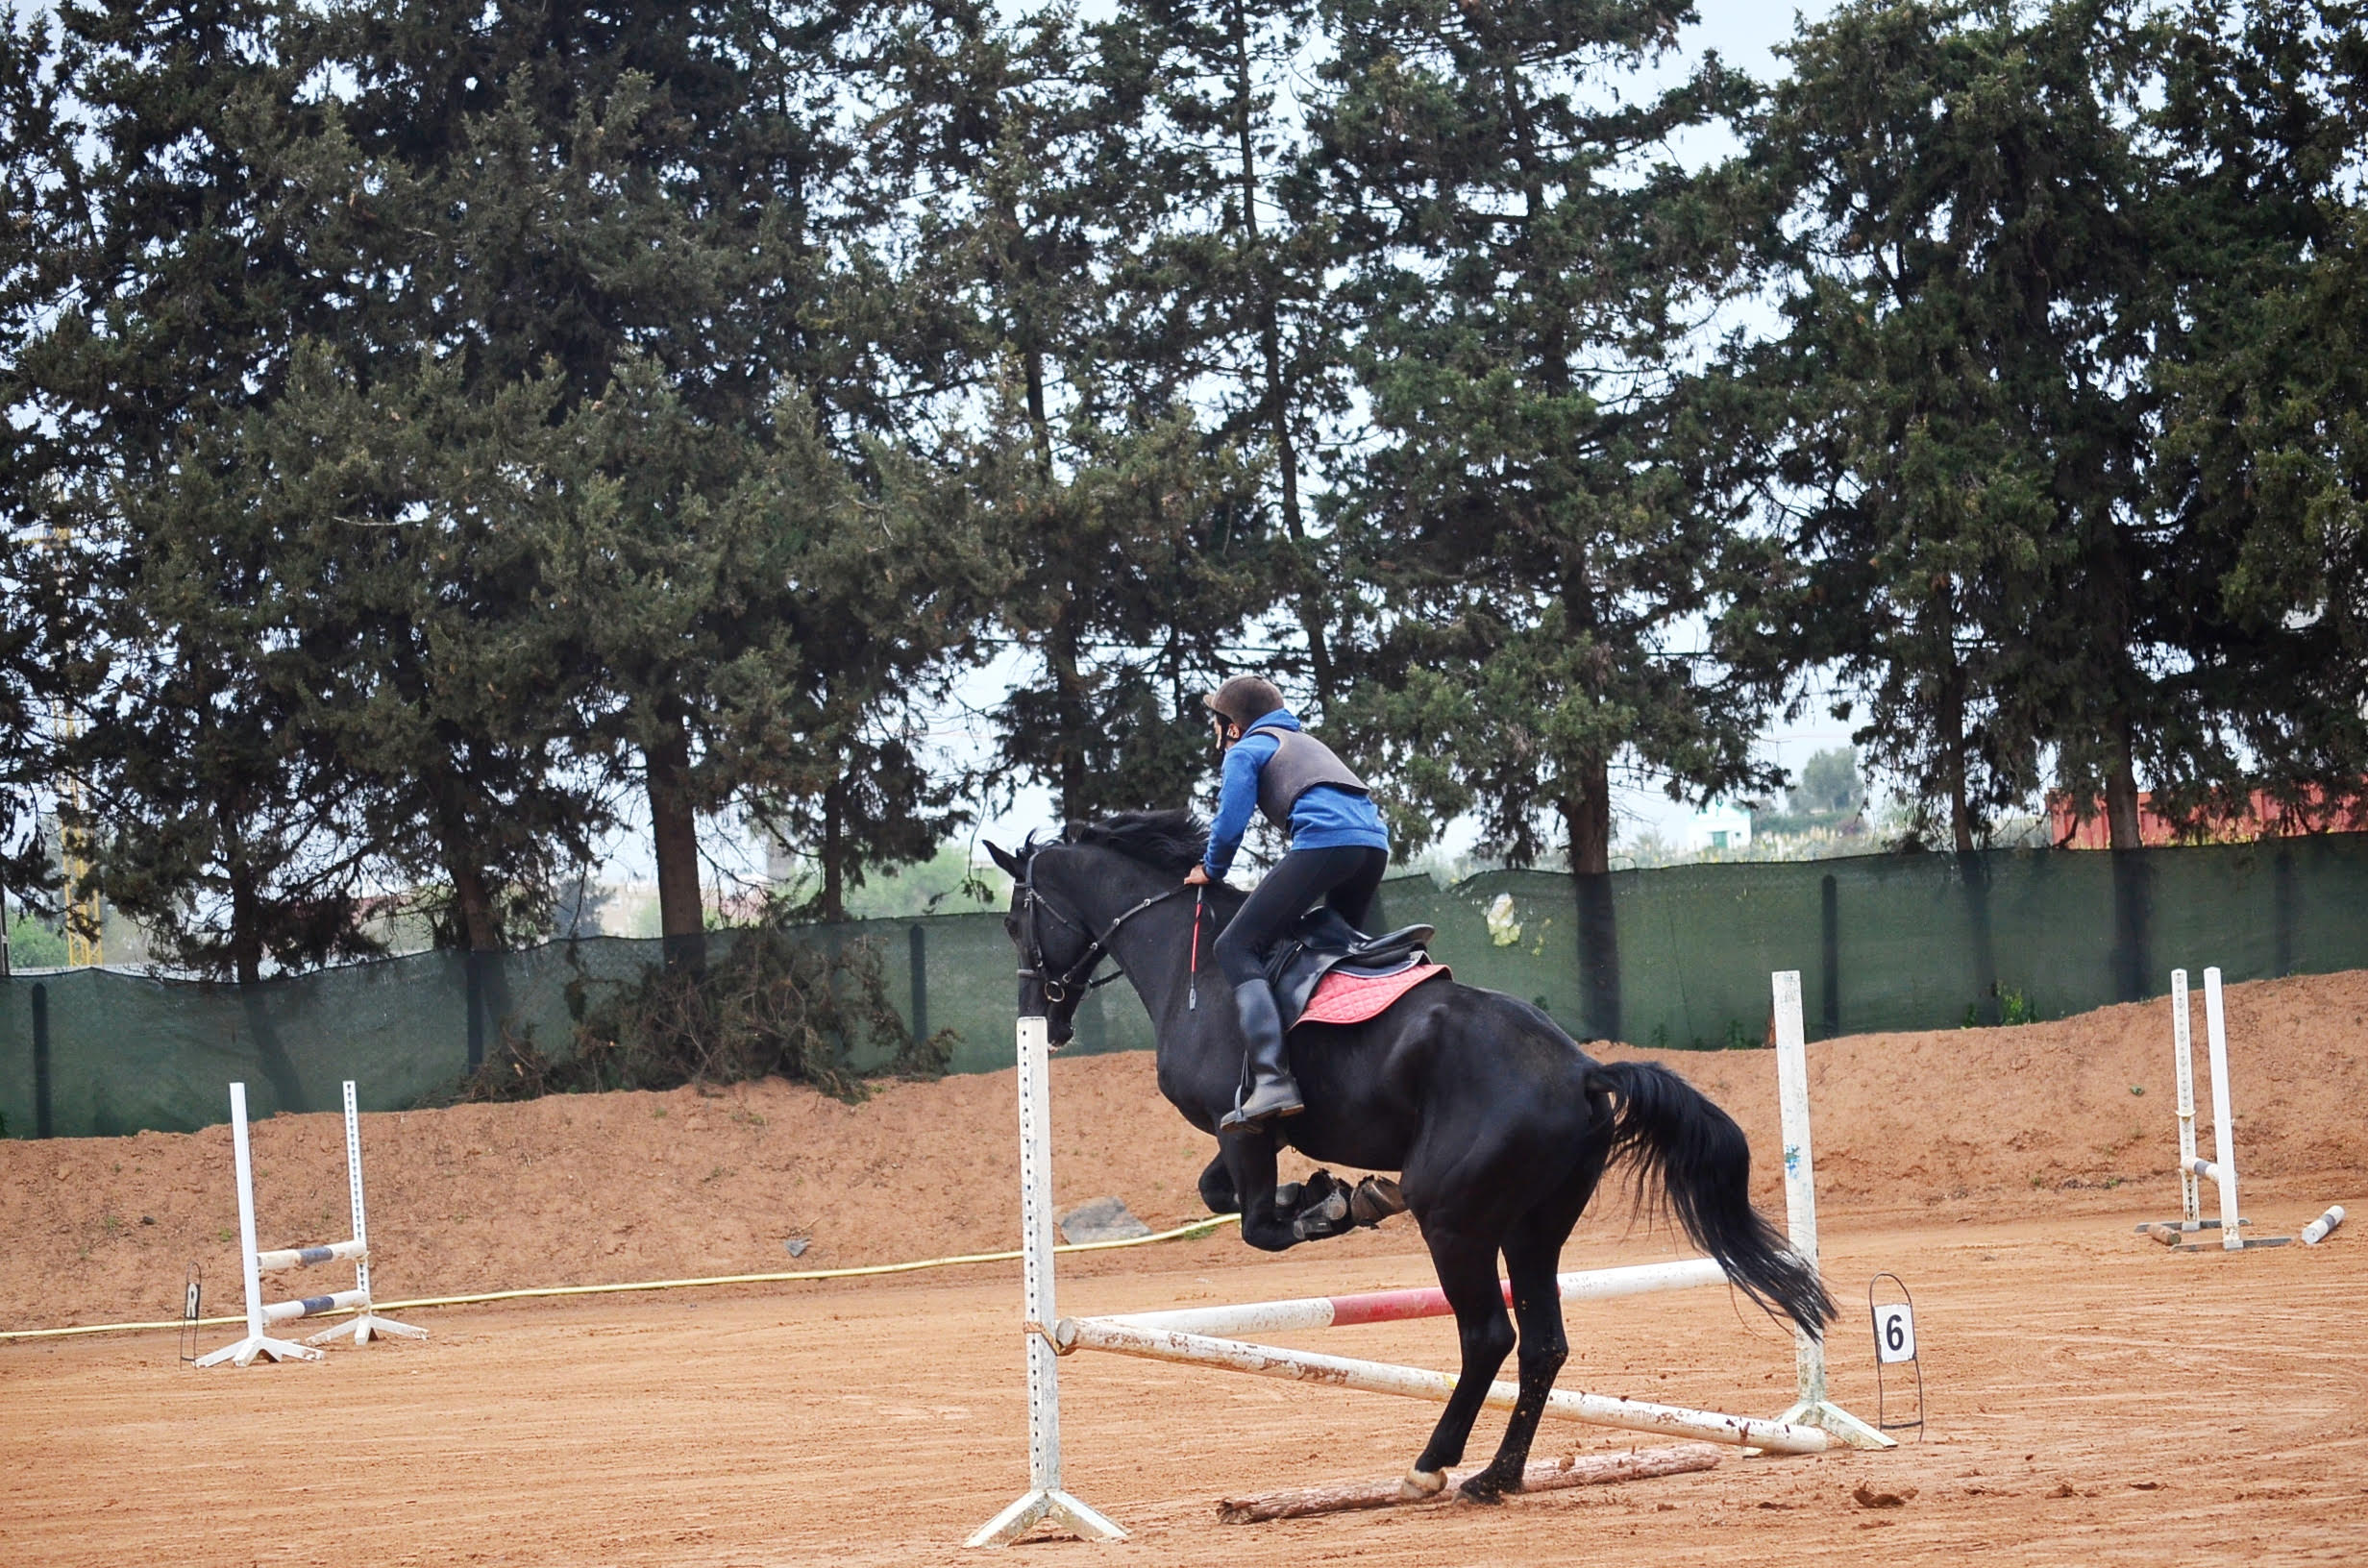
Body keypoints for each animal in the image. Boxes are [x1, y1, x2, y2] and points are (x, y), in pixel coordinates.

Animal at [989, 815, 1838, 1506]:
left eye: (1014, 918)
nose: (1039, 1017)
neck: (1191, 964)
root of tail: (1583, 1070)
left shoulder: (1245, 1128)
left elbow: (1256, 1221)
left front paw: (1329, 1206)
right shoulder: (1249, 1139)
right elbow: (1220, 1195)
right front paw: (1324, 1193)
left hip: (1456, 1220)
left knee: (1489, 1336)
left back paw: (1432, 1465)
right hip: (1534, 1226)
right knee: (1543, 1344)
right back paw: (1496, 1477)